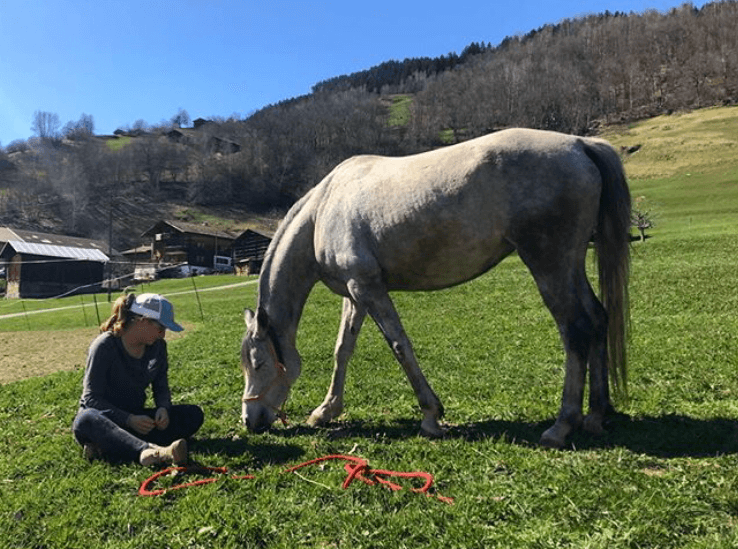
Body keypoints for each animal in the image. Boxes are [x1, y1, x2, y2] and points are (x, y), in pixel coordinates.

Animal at [239, 126, 628, 448]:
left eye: (258, 363)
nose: (249, 420)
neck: (323, 210)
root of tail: (579, 144)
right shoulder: (355, 294)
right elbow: (342, 350)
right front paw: (326, 410)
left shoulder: (368, 289)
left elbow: (400, 345)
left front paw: (430, 416)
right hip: (570, 265)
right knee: (597, 319)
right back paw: (596, 415)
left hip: (549, 265)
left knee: (576, 329)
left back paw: (562, 425)